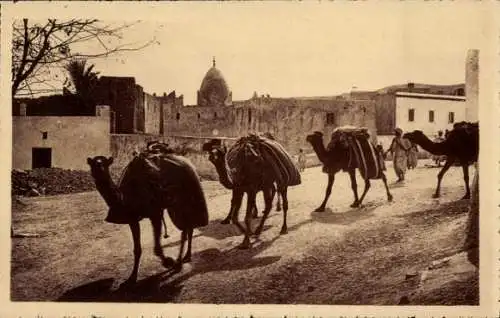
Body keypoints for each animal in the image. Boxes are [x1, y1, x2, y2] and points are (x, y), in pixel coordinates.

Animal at [87, 150, 208, 286]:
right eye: (92, 163)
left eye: (105, 163)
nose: (98, 167)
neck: (126, 197)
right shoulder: (132, 220)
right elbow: (137, 249)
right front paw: (132, 278)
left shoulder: (155, 213)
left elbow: (157, 247)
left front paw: (168, 262)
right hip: (176, 206)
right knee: (186, 227)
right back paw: (184, 258)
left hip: (185, 199)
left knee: (188, 226)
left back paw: (180, 261)